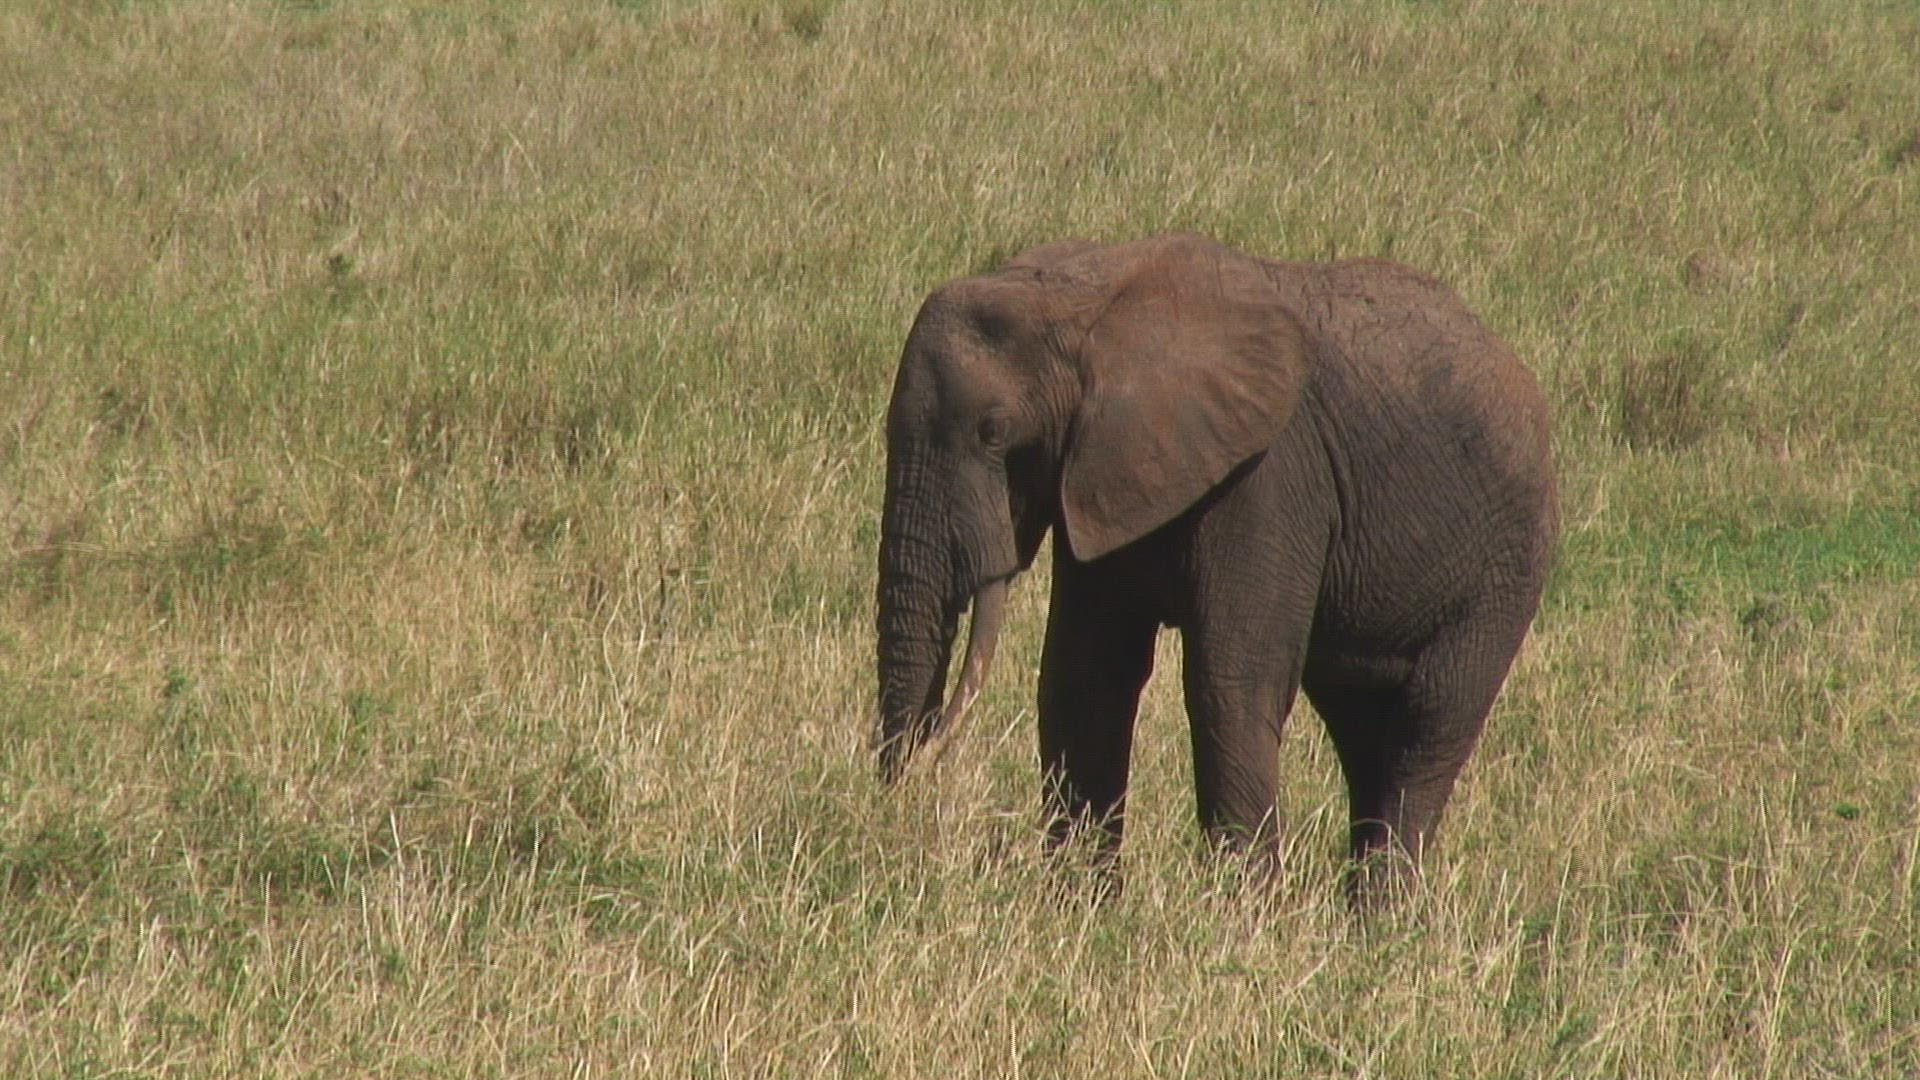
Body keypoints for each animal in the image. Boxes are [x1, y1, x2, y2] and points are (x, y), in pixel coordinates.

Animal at [874, 233, 1557, 899]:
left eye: (994, 433)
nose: (899, 800)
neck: (1085, 297)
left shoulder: (1269, 475)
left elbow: (1228, 684)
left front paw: (1244, 917)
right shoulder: (1100, 471)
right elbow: (1085, 677)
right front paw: (1080, 907)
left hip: (1509, 560)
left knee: (1428, 725)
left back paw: (1383, 919)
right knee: (1363, 728)